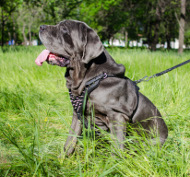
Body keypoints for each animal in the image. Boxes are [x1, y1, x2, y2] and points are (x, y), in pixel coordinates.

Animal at [35, 19, 168, 155]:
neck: (89, 80)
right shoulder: (77, 115)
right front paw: (62, 158)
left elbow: (117, 147)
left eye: (64, 29)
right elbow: (70, 141)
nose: (41, 27)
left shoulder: (117, 116)